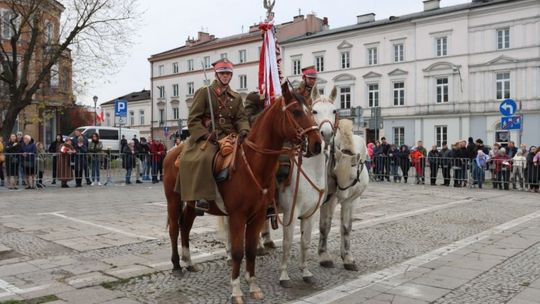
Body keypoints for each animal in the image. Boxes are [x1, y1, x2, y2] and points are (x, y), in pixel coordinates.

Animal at [160, 83, 320, 304]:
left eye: (311, 111)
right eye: (296, 111)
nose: (317, 143)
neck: (251, 164)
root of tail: (172, 152)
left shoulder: (258, 215)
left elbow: (250, 250)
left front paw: (253, 286)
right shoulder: (237, 216)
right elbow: (237, 252)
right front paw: (236, 290)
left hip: (192, 203)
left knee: (185, 227)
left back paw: (189, 262)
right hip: (173, 200)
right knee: (175, 229)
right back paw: (176, 265)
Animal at [318, 119, 370, 270]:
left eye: (353, 176)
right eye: (334, 173)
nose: (341, 194)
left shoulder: (351, 201)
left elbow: (346, 227)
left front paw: (347, 258)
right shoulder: (329, 201)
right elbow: (325, 226)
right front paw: (324, 256)